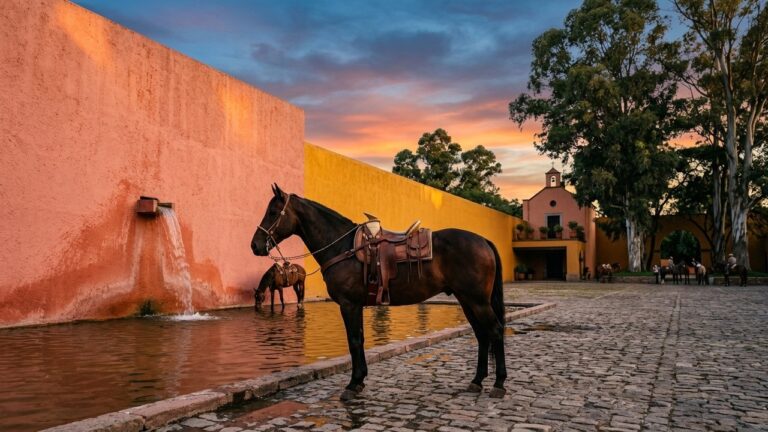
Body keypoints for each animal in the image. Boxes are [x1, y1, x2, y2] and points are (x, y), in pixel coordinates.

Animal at [251, 185, 507, 400]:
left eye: (273, 212)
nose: (255, 245)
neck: (343, 248)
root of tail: (483, 240)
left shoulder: (349, 304)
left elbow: (354, 341)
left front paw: (353, 384)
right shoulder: (355, 305)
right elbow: (360, 339)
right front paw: (360, 380)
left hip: (477, 301)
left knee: (494, 331)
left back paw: (499, 384)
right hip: (467, 300)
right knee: (481, 334)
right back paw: (476, 381)